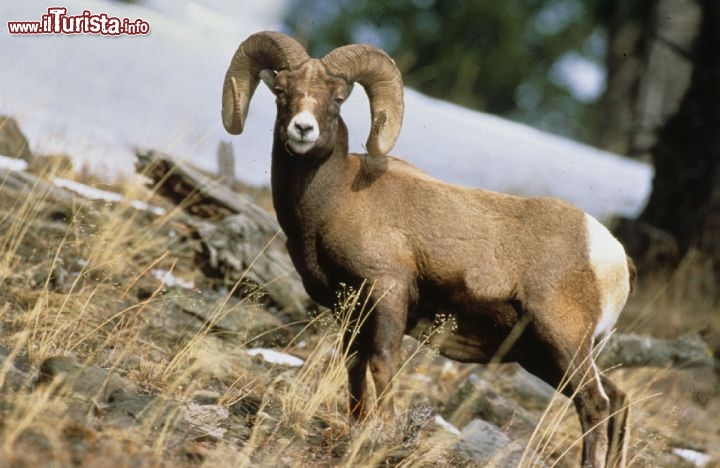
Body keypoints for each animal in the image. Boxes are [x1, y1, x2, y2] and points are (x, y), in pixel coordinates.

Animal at [222, 31, 632, 466]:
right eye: (282, 91)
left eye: (337, 98)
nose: (303, 129)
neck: (334, 199)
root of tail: (612, 255)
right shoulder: (348, 310)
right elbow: (354, 365)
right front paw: (356, 428)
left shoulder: (388, 292)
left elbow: (382, 362)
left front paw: (383, 436)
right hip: (544, 355)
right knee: (617, 399)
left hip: (563, 342)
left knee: (595, 403)